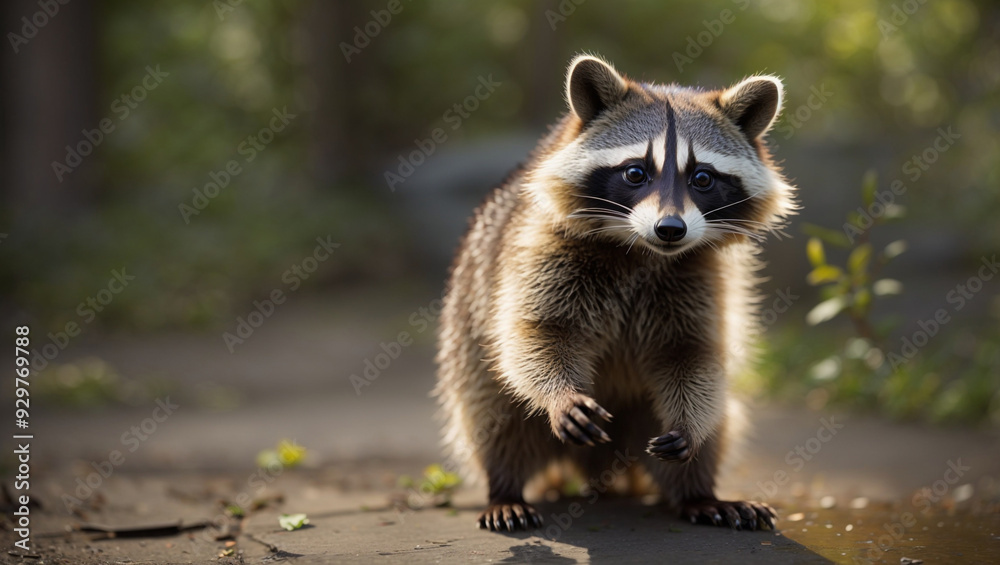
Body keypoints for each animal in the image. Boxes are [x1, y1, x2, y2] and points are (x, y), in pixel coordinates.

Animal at [434, 54, 796, 532]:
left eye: (702, 178)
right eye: (635, 173)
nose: (670, 229)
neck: (641, 251)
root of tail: (604, 463)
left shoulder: (704, 276)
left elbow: (695, 355)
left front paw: (692, 424)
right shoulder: (535, 248)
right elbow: (534, 335)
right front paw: (559, 394)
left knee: (720, 421)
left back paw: (698, 492)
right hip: (467, 357)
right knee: (494, 417)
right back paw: (504, 488)